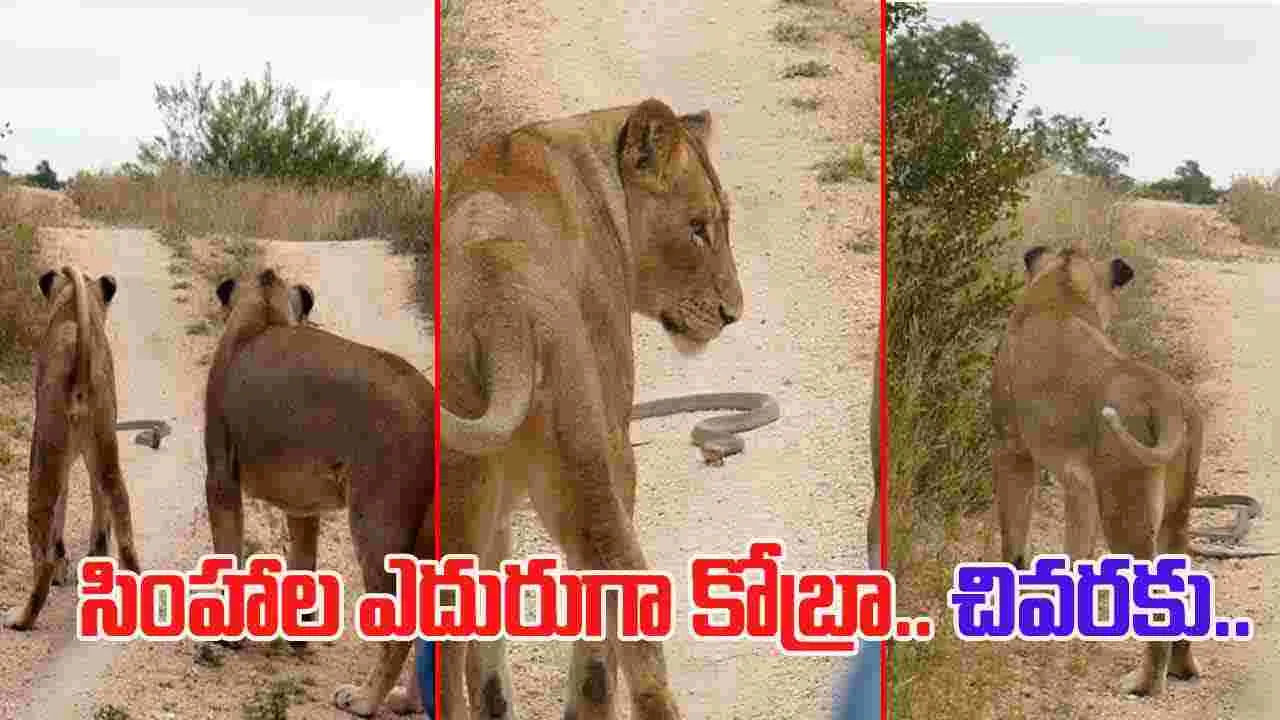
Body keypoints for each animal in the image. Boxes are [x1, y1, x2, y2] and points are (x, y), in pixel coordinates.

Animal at [6, 266, 142, 631]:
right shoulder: (95, 458)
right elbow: (99, 517)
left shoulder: (50, 455)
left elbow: (60, 515)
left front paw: (64, 567)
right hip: (107, 456)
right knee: (124, 532)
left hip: (42, 462)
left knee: (42, 561)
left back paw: (21, 617)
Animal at [204, 268, 434, 717]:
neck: (264, 310)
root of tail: (427, 401)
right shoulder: (302, 504)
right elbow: (302, 561)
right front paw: (298, 636)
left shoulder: (220, 476)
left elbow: (229, 554)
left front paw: (228, 636)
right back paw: (405, 701)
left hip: (377, 521)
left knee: (401, 623)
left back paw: (364, 699)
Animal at [437, 98, 744, 720]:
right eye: (698, 229)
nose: (733, 313)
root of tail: (500, 304)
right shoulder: (618, 442)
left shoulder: (492, 515)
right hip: (588, 466)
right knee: (626, 616)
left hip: (462, 488)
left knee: (450, 651)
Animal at [990, 245, 1203, 697]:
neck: (1063, 289)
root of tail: (1167, 399)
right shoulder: (1081, 485)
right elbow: (1077, 552)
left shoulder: (1013, 452)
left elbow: (1013, 539)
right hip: (1175, 516)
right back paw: (1181, 668)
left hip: (1125, 510)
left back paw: (1143, 683)